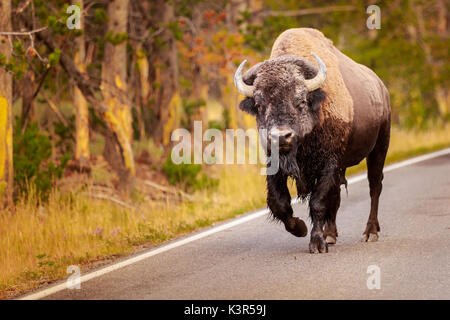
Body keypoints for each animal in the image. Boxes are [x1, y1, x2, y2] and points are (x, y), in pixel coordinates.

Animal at [236, 28, 390, 252]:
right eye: (259, 104)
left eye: (300, 101)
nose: (281, 136)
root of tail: (381, 88)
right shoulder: (275, 164)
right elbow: (279, 202)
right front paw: (300, 228)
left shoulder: (328, 165)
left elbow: (318, 202)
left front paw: (317, 243)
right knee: (338, 196)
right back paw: (331, 235)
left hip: (379, 148)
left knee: (374, 187)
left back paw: (370, 233)